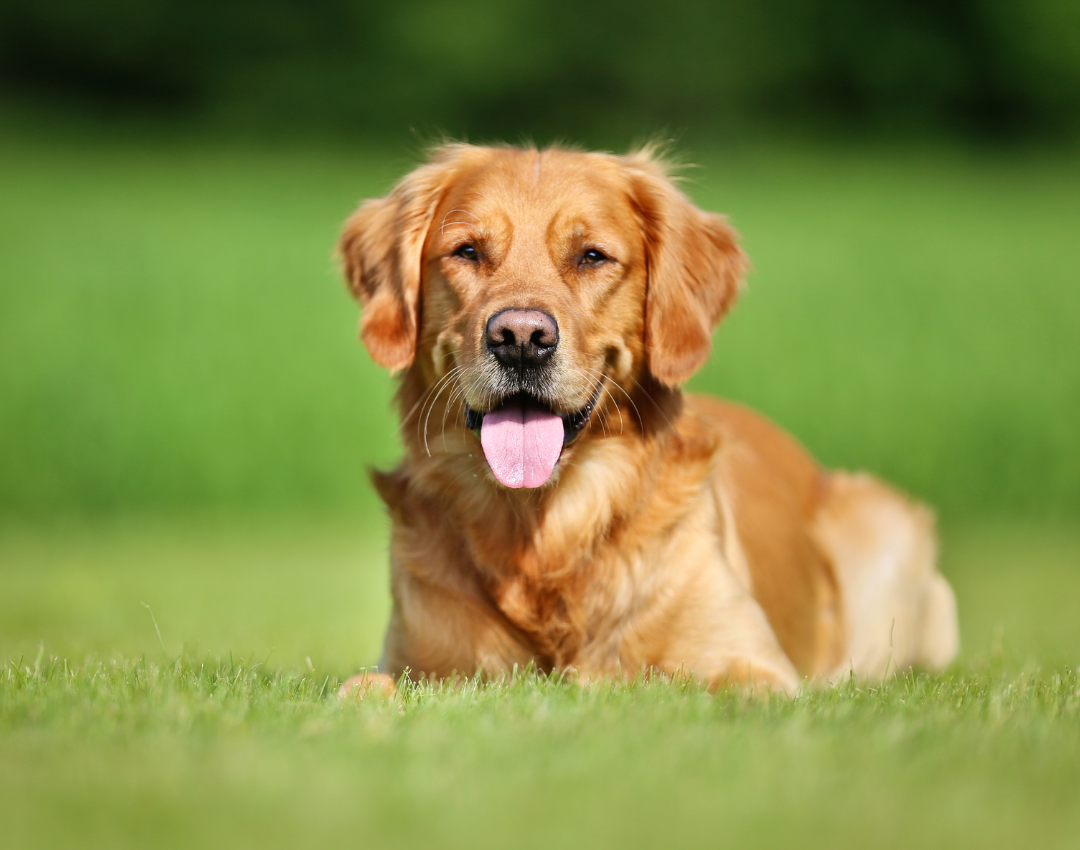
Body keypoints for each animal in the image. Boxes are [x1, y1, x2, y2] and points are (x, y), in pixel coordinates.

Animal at [334, 141, 954, 699]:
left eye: (591, 256)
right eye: (466, 251)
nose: (521, 339)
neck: (546, 530)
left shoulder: (753, 662)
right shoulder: (415, 660)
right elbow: (365, 688)